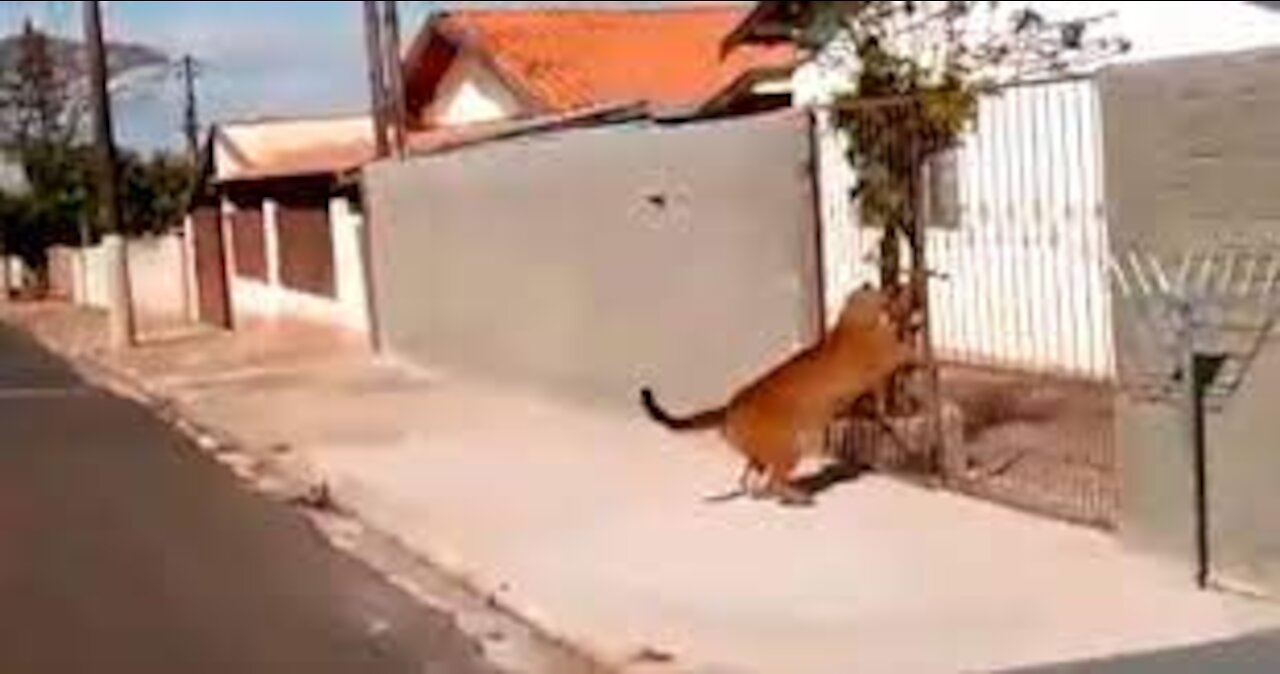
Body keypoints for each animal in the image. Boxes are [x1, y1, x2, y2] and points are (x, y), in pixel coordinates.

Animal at [640, 289, 911, 506]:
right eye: (872, 292)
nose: (871, 285)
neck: (846, 328)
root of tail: (729, 406)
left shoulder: (876, 379)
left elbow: (879, 405)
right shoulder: (888, 360)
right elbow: (908, 356)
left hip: (761, 453)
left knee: (748, 477)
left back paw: (758, 492)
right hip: (790, 448)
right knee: (773, 481)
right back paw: (798, 498)